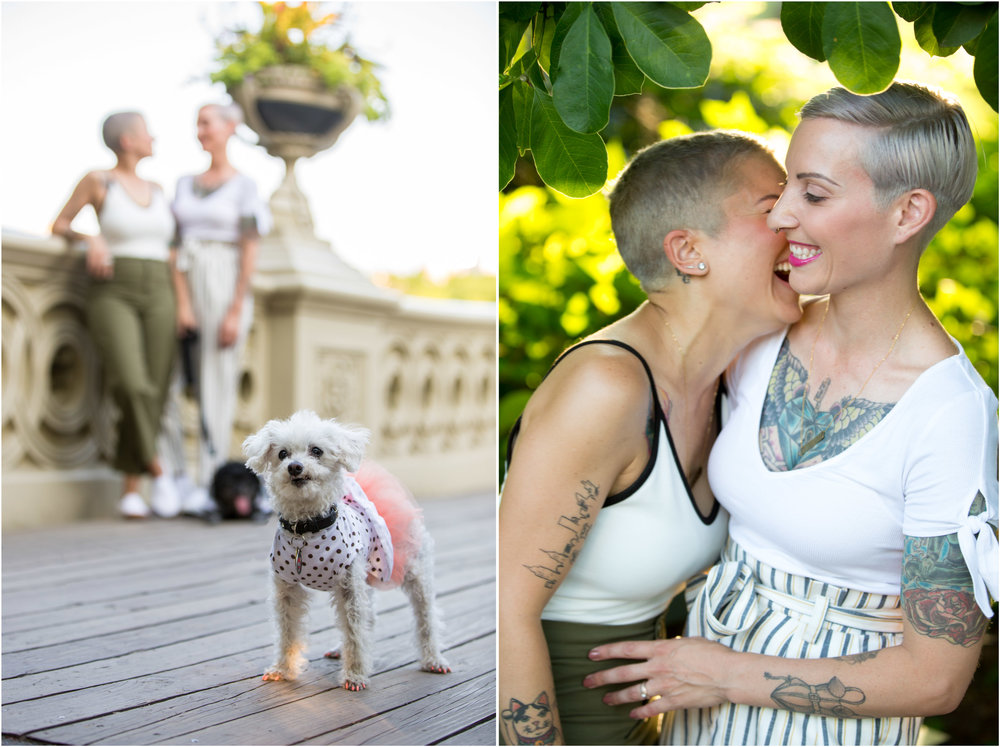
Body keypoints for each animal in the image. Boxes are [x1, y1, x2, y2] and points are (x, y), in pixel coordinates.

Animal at [242, 412, 450, 692]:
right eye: (282, 453)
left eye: (316, 451)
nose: (294, 467)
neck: (305, 530)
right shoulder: (287, 589)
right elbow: (288, 632)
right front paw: (283, 669)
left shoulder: (350, 588)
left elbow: (355, 631)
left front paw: (355, 676)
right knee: (367, 618)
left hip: (414, 572)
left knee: (426, 617)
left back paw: (433, 659)